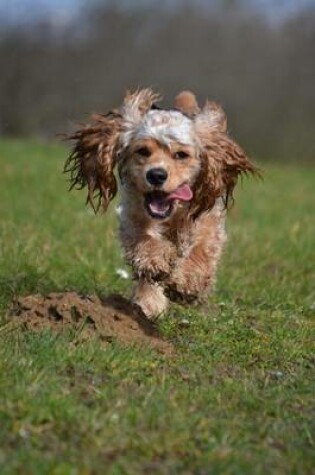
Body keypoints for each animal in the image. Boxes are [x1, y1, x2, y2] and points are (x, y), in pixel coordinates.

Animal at [65, 89, 260, 320]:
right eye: (142, 151)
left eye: (181, 154)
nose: (156, 175)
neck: (172, 215)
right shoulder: (133, 215)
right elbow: (145, 245)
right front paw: (152, 281)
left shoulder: (208, 219)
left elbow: (201, 249)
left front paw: (187, 281)